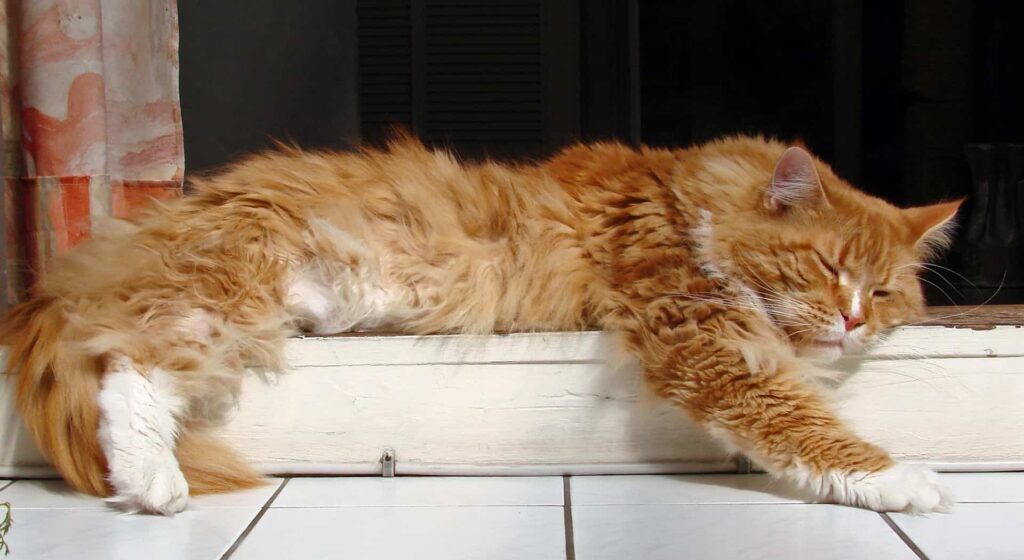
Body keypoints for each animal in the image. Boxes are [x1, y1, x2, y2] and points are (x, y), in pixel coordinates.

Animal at [2, 134, 958, 515]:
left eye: (883, 292)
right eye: (827, 267)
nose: (851, 320)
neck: (683, 192)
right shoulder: (699, 332)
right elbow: (803, 425)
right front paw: (907, 480)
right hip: (228, 298)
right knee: (123, 362)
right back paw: (150, 483)